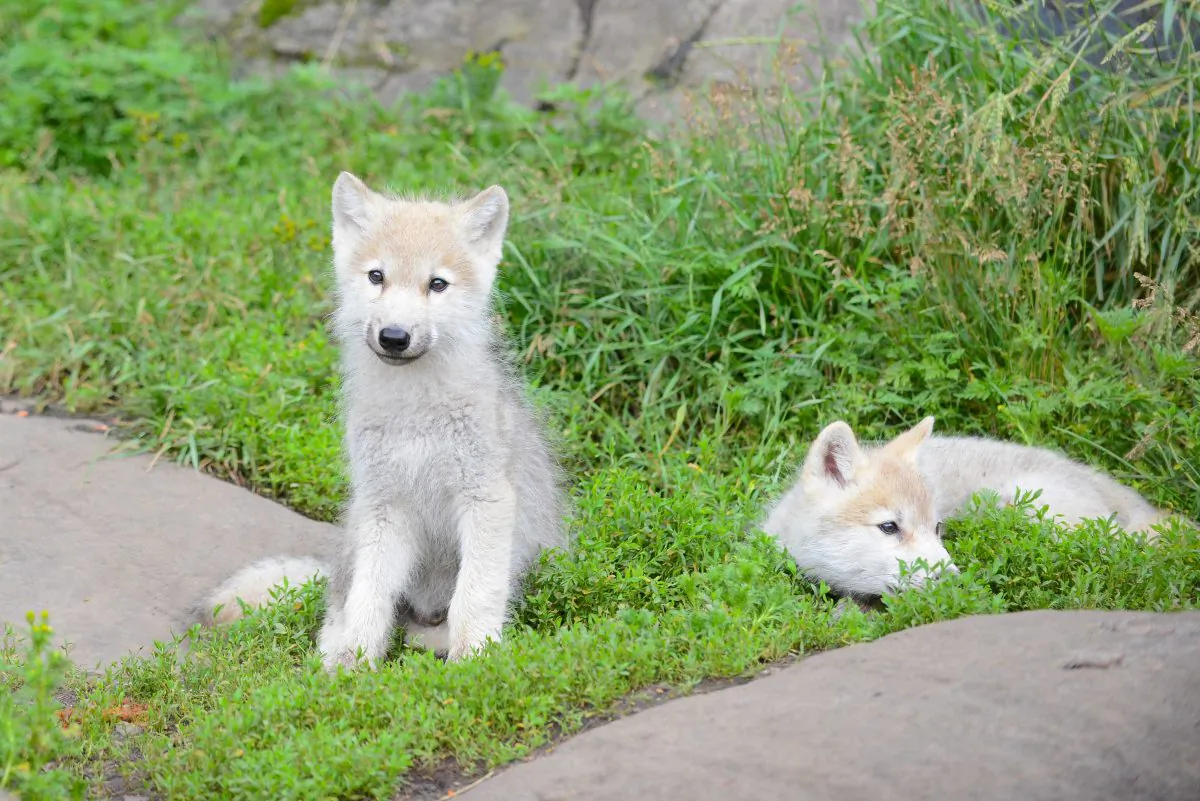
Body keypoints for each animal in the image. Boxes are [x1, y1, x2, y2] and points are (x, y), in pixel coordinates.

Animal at [194, 172, 567, 669]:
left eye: (437, 284)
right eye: (377, 276)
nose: (394, 337)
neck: (416, 413)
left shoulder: (484, 498)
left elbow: (474, 596)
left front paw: (475, 661)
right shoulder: (385, 508)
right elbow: (369, 599)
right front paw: (351, 667)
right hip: (357, 527)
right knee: (343, 599)